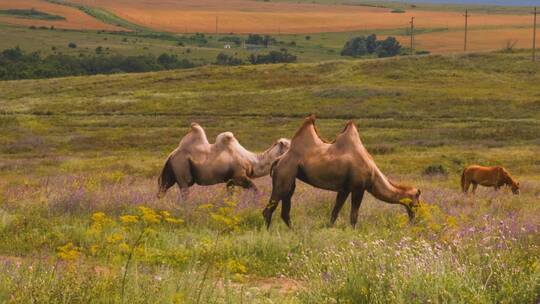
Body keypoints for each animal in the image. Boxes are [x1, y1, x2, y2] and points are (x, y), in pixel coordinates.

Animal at [157, 122, 292, 198]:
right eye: (288, 146)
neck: (251, 161)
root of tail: (171, 155)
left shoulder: (231, 180)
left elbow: (229, 194)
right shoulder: (239, 175)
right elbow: (255, 189)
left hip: (171, 171)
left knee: (163, 188)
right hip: (181, 167)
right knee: (184, 191)